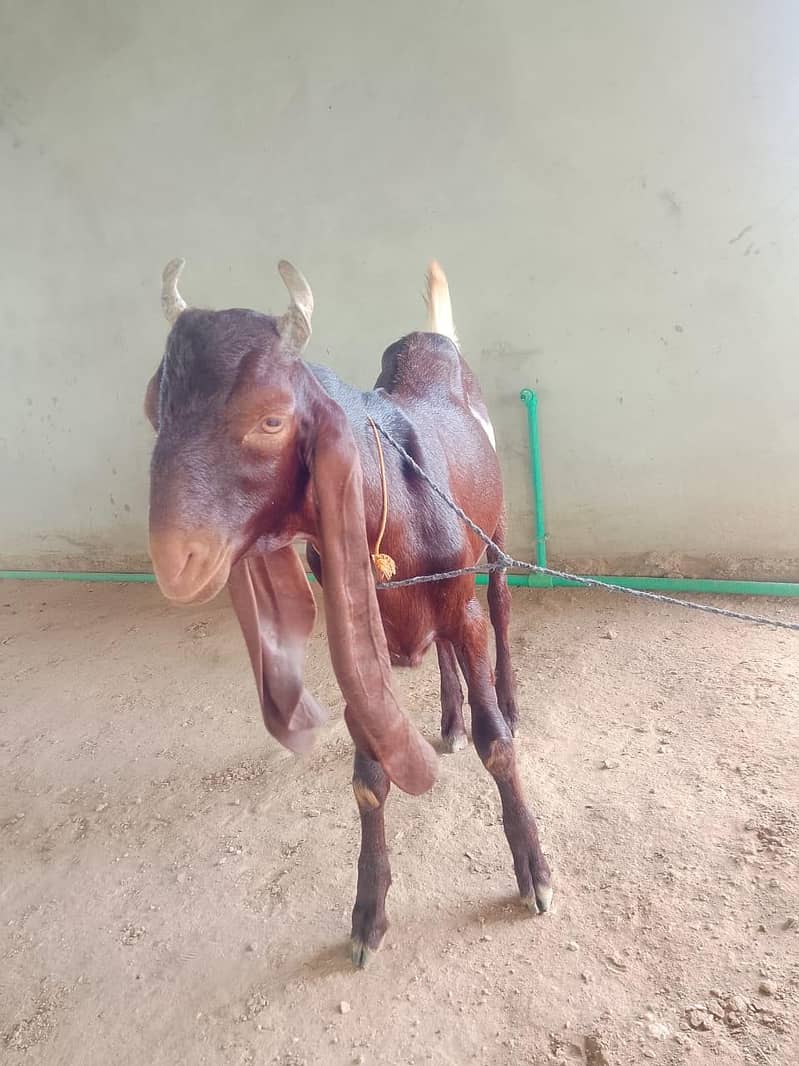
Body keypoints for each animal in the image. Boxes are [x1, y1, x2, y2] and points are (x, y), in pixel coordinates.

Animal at [144, 258, 552, 966]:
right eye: (157, 408)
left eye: (271, 420)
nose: (176, 557)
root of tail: (432, 338)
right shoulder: (359, 640)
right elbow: (368, 779)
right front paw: (368, 914)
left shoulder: (461, 603)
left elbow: (497, 744)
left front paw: (533, 869)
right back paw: (449, 718)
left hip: (495, 531)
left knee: (500, 602)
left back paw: (504, 696)